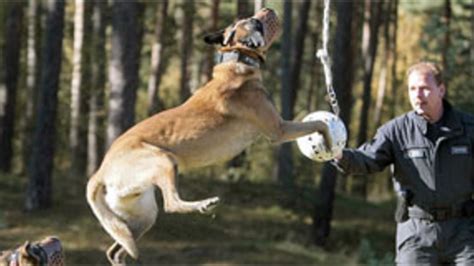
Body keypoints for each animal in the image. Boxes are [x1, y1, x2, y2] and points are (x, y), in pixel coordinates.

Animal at [86, 7, 330, 264]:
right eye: (253, 21)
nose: (268, 8)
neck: (237, 59)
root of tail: (100, 171)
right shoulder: (279, 129)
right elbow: (317, 123)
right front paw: (332, 140)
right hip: (164, 160)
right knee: (171, 204)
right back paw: (204, 204)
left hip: (142, 213)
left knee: (117, 249)